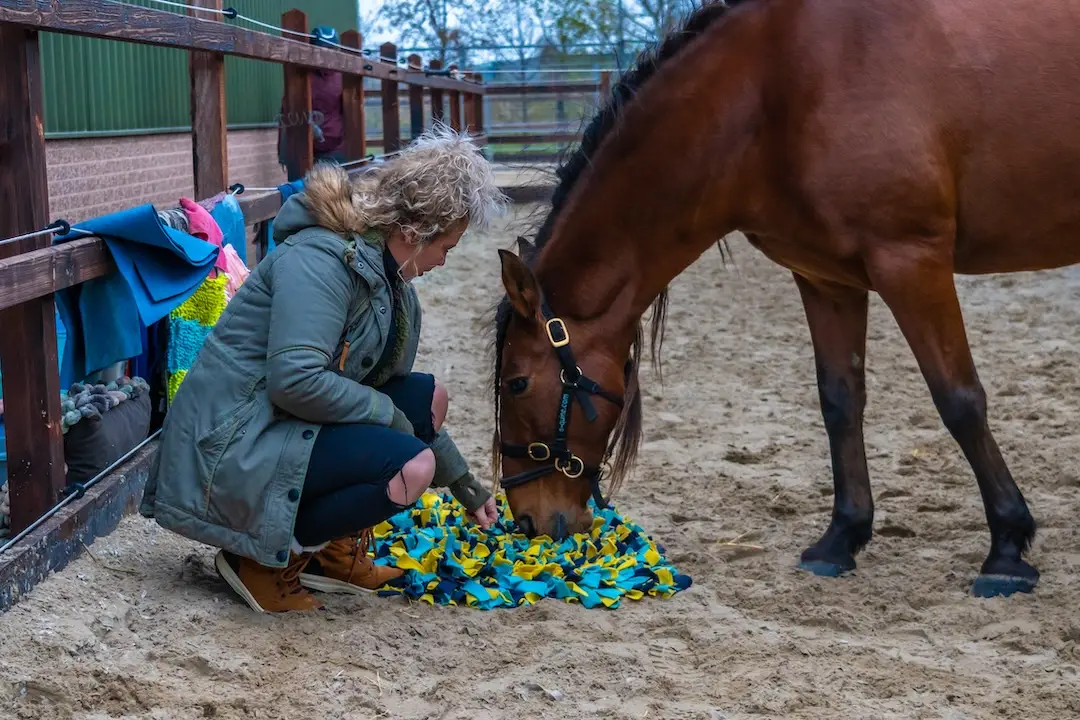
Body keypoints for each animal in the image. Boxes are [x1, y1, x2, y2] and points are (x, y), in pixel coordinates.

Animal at [490, 0, 1080, 598]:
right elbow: (839, 401)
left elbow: (959, 400)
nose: (527, 520)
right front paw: (841, 539)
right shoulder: (827, 281)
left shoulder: (912, 262)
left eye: (516, 383)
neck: (777, 85)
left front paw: (1007, 546)